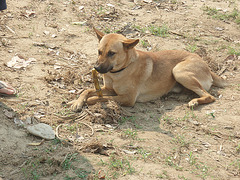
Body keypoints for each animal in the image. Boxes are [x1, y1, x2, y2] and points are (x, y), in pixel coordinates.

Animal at [68, 28, 225, 111]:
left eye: (111, 53)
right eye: (99, 51)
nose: (96, 68)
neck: (120, 71)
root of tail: (206, 65)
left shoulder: (127, 98)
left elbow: (98, 97)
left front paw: (89, 101)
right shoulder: (109, 89)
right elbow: (87, 90)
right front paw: (77, 102)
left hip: (179, 71)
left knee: (210, 96)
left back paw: (195, 101)